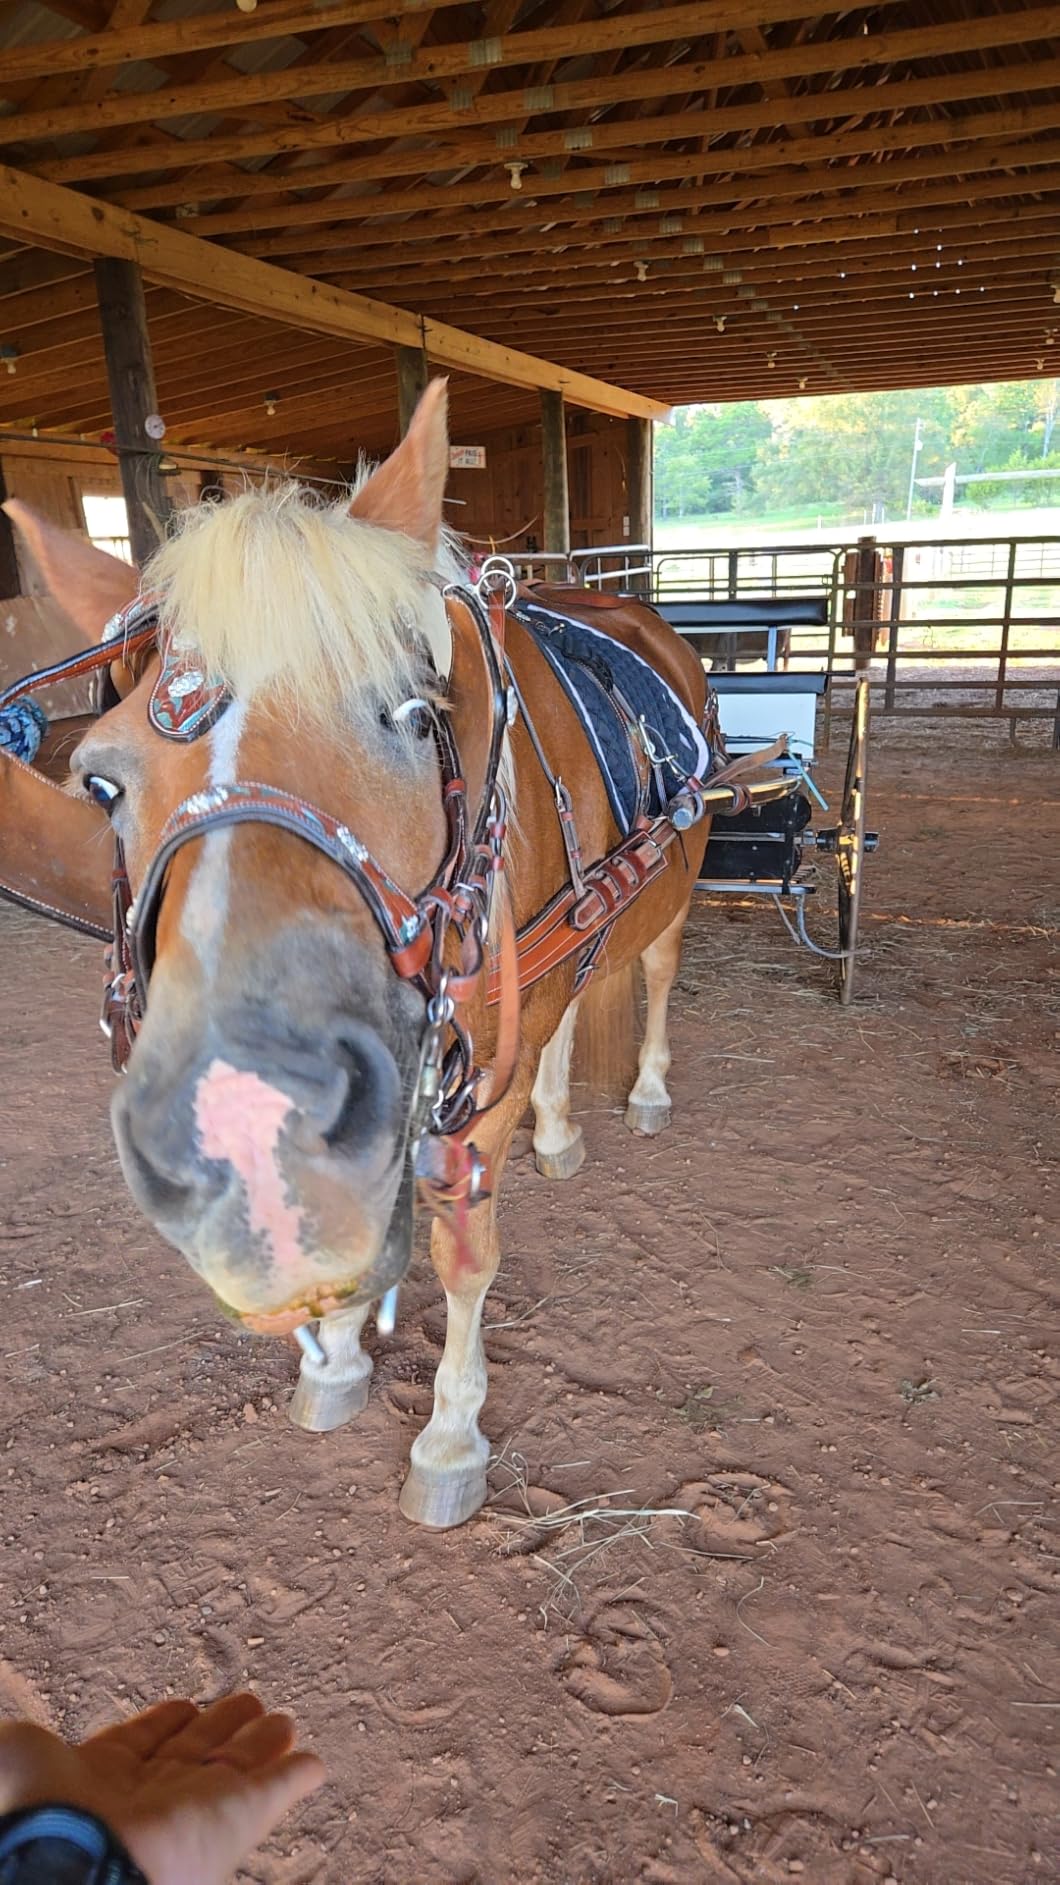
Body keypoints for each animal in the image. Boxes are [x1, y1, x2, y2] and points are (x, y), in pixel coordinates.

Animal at [0, 381, 731, 1531]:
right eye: (103, 783)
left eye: (415, 716)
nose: (243, 1118)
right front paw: (337, 1353)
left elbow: (463, 1256)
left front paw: (449, 1433)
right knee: (571, 1006)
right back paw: (561, 1127)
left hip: (673, 885)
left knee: (651, 972)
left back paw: (647, 1088)